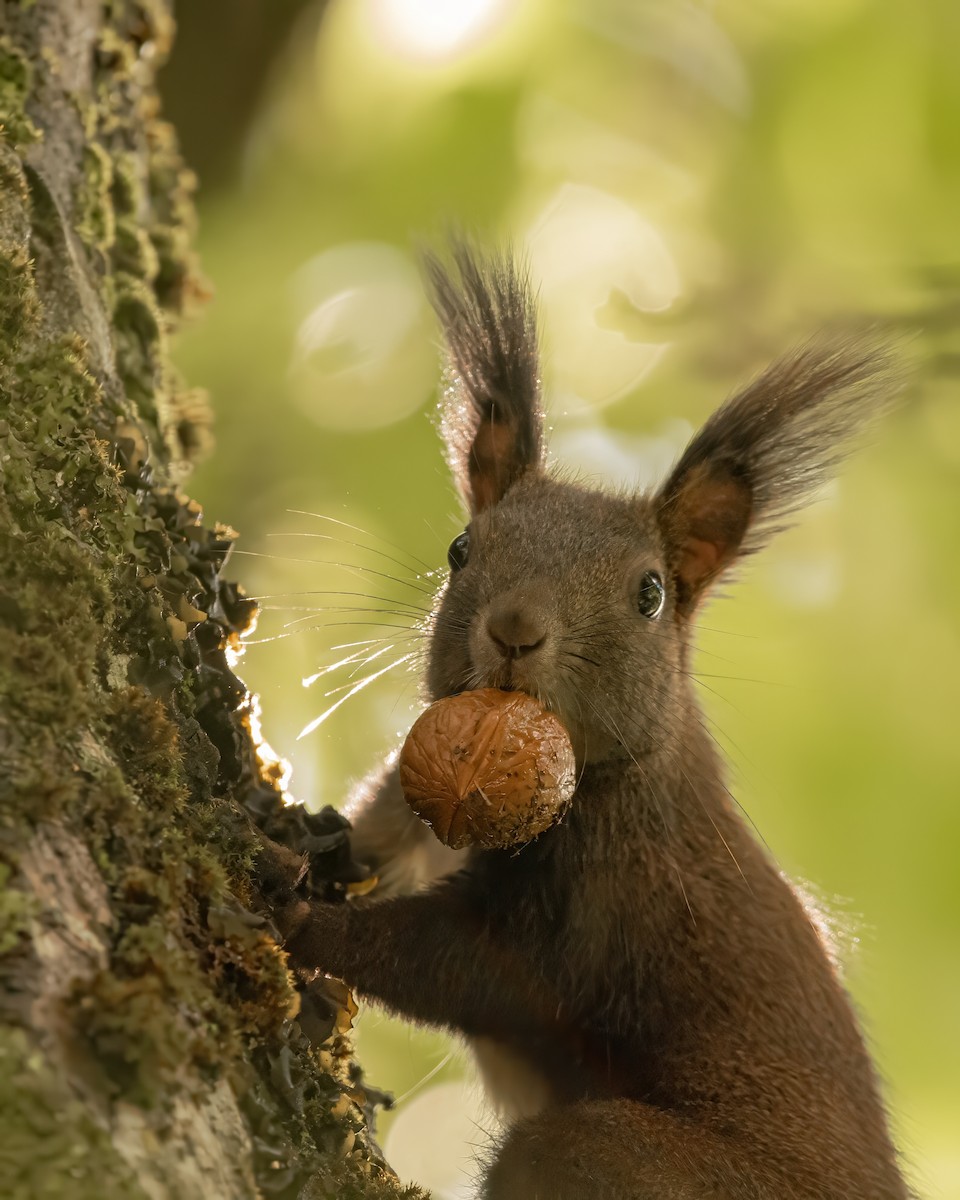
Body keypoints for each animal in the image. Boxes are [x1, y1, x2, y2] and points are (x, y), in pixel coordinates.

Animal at [276, 243, 911, 1199]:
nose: (514, 629)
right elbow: (382, 846)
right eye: (462, 548)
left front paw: (303, 917)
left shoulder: (602, 906)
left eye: (649, 594)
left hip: (617, 1159)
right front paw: (313, 835)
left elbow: (454, 968)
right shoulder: (409, 810)